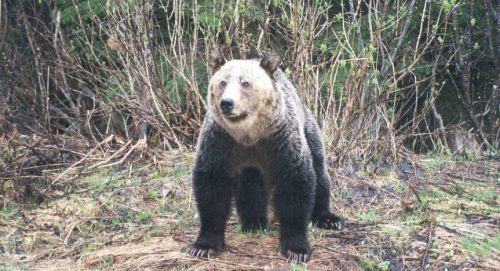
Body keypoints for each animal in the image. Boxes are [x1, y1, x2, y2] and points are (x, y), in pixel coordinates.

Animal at [189, 51, 342, 264]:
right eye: (222, 82)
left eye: (245, 83)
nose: (227, 103)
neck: (250, 134)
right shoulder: (220, 141)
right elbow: (212, 186)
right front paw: (204, 246)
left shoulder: (281, 139)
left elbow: (295, 184)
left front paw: (296, 249)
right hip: (249, 163)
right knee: (251, 186)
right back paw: (254, 222)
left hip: (308, 127)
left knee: (319, 171)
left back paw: (327, 218)